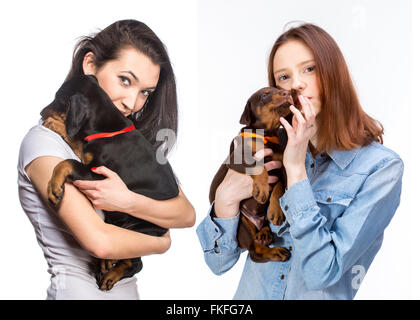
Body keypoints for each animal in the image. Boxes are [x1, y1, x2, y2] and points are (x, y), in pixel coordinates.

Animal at [39, 75, 177, 290]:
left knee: (133, 261)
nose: (41, 112)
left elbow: (68, 161)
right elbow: (78, 143)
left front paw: (54, 187)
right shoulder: (88, 153)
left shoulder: (102, 178)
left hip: (139, 226)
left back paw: (110, 273)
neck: (108, 130)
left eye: (58, 99)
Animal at [208, 87, 300, 262]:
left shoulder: (282, 167)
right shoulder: (236, 158)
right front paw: (261, 189)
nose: (287, 93)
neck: (266, 134)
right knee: (254, 251)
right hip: (240, 224)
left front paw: (276, 211)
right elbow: (258, 166)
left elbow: (279, 186)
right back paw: (274, 250)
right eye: (264, 95)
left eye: (279, 89)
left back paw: (265, 234)